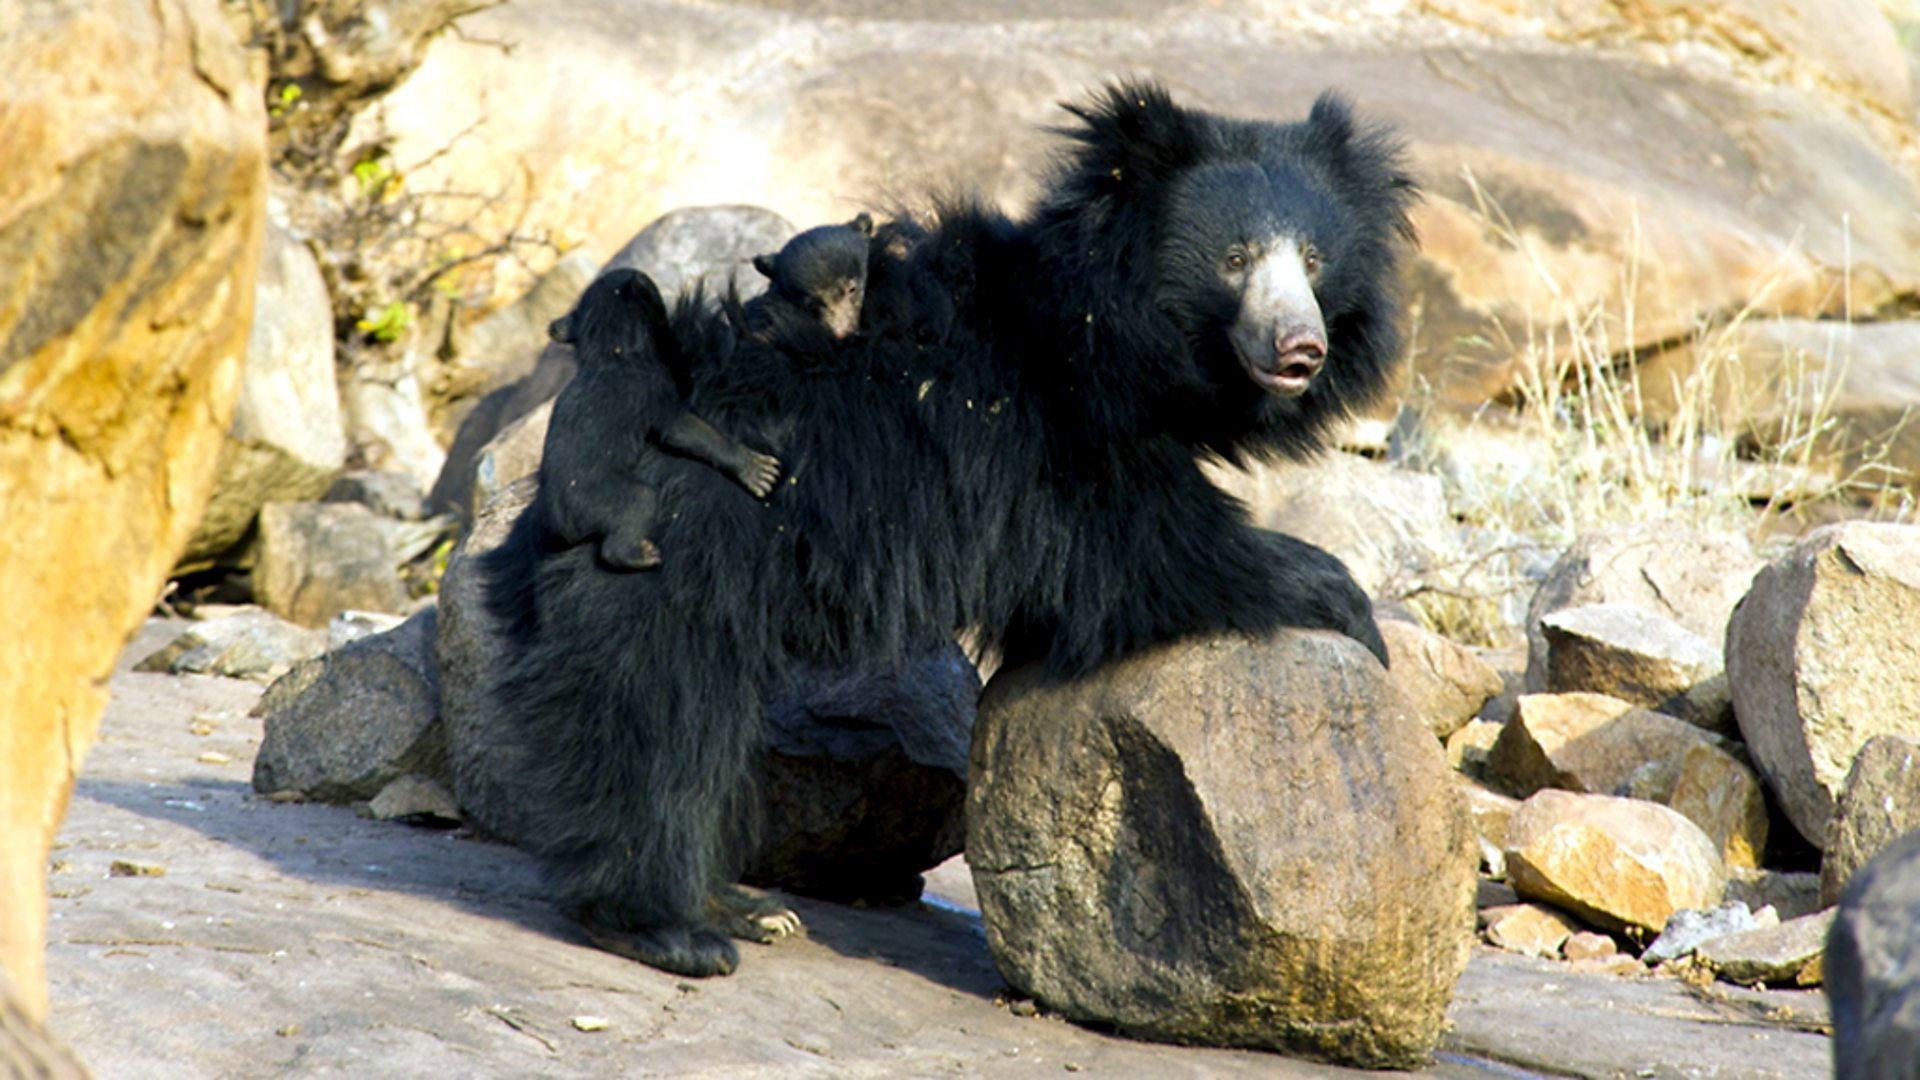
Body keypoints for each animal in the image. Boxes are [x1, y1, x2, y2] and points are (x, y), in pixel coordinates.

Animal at [538, 268, 781, 570]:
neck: (613, 349)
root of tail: (565, 526)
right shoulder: (653, 390)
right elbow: (681, 429)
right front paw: (759, 471)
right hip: (599, 500)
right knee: (638, 503)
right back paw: (643, 555)